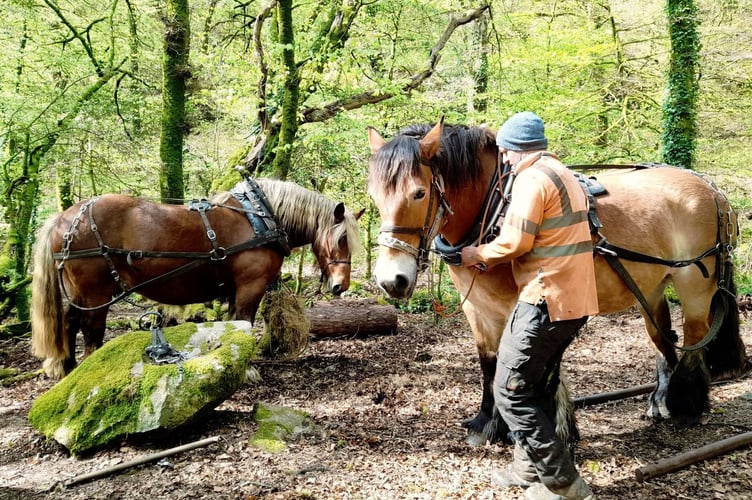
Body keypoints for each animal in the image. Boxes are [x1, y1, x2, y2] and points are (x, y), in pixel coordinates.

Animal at [31, 178, 362, 379]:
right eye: (342, 238)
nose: (341, 286)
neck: (260, 217)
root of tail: (65, 218)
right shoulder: (250, 287)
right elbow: (244, 323)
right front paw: (248, 370)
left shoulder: (235, 290)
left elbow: (234, 326)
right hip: (97, 293)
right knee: (91, 331)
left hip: (79, 293)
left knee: (69, 323)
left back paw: (67, 369)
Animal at [366, 118, 747, 448]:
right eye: (374, 196)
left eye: (418, 193)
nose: (392, 280)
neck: (497, 209)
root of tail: (711, 188)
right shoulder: (479, 308)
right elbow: (490, 363)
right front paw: (487, 424)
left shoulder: (532, 304)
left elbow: (535, 363)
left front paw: (549, 425)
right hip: (650, 287)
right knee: (664, 338)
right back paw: (661, 401)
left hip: (694, 282)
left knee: (695, 338)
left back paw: (687, 405)